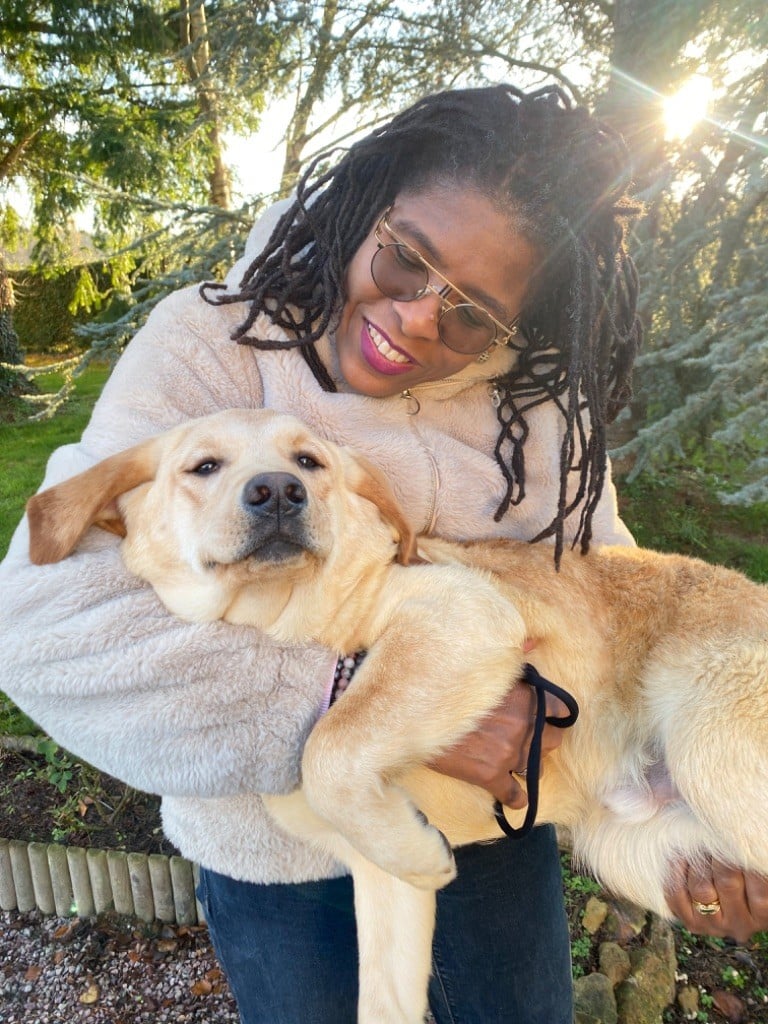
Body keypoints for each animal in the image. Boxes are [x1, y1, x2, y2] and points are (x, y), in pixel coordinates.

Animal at [27, 407, 768, 1024]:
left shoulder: (458, 613)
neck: (288, 620)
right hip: (639, 846)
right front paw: (414, 848)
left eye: (309, 462)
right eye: (203, 466)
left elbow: (331, 742)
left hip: (712, 753)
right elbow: (383, 991)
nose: (278, 492)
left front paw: (424, 850)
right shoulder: (379, 884)